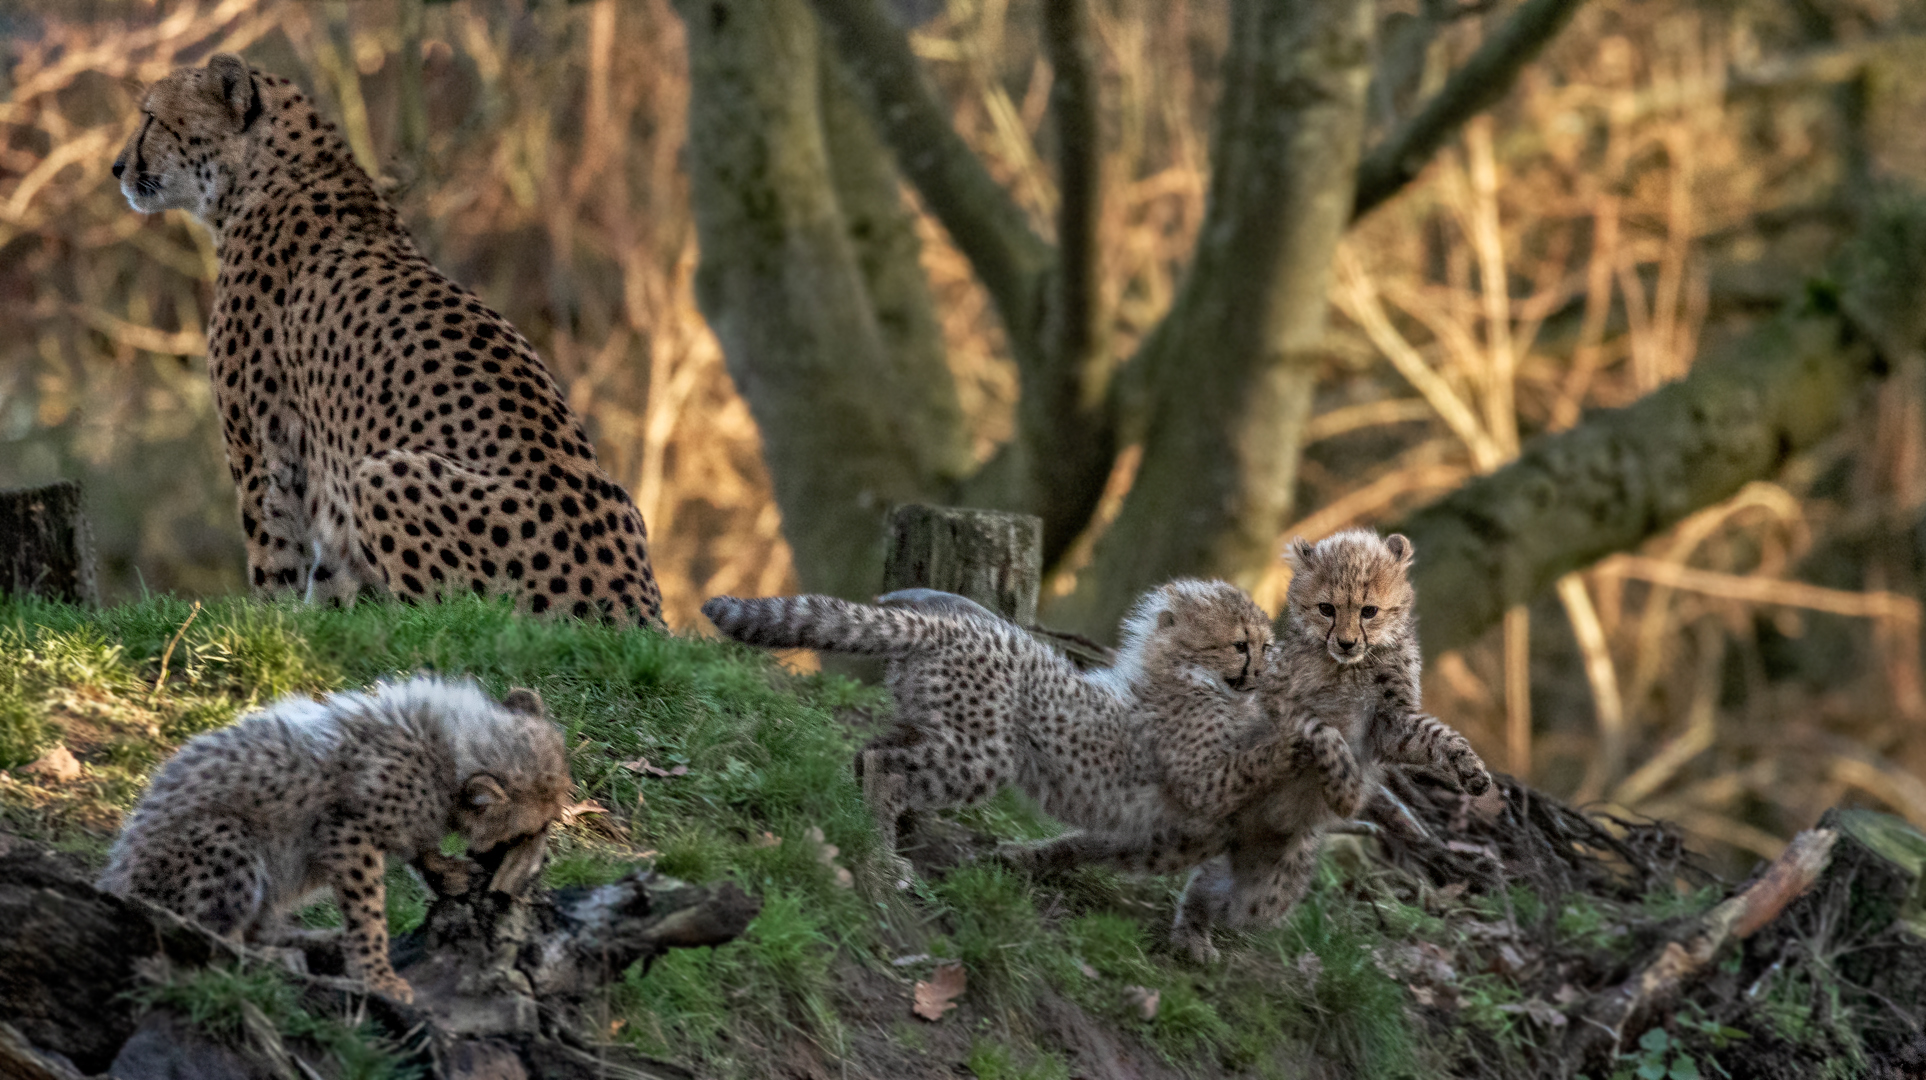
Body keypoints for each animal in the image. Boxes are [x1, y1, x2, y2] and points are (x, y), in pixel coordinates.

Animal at [96, 677, 566, 1001]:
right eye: (532, 830)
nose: (539, 860)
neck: (448, 750)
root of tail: (115, 878)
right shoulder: (349, 832)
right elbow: (369, 911)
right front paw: (379, 976)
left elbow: (418, 846)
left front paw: (446, 873)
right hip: (227, 839)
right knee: (204, 933)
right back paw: (277, 959)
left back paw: (317, 942)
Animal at [116, 52, 670, 623]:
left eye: (150, 117)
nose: (117, 168)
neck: (274, 172)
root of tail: (636, 608)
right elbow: (331, 578)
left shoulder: (263, 448)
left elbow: (274, 559)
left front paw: (271, 624)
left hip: (385, 473)